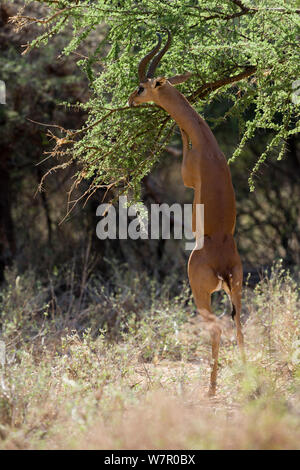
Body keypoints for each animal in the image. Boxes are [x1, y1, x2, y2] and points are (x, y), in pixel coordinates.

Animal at [127, 31, 245, 394]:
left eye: (142, 87)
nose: (130, 101)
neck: (207, 144)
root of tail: (222, 265)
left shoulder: (186, 177)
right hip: (237, 289)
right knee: (240, 325)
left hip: (200, 293)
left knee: (217, 328)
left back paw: (210, 389)